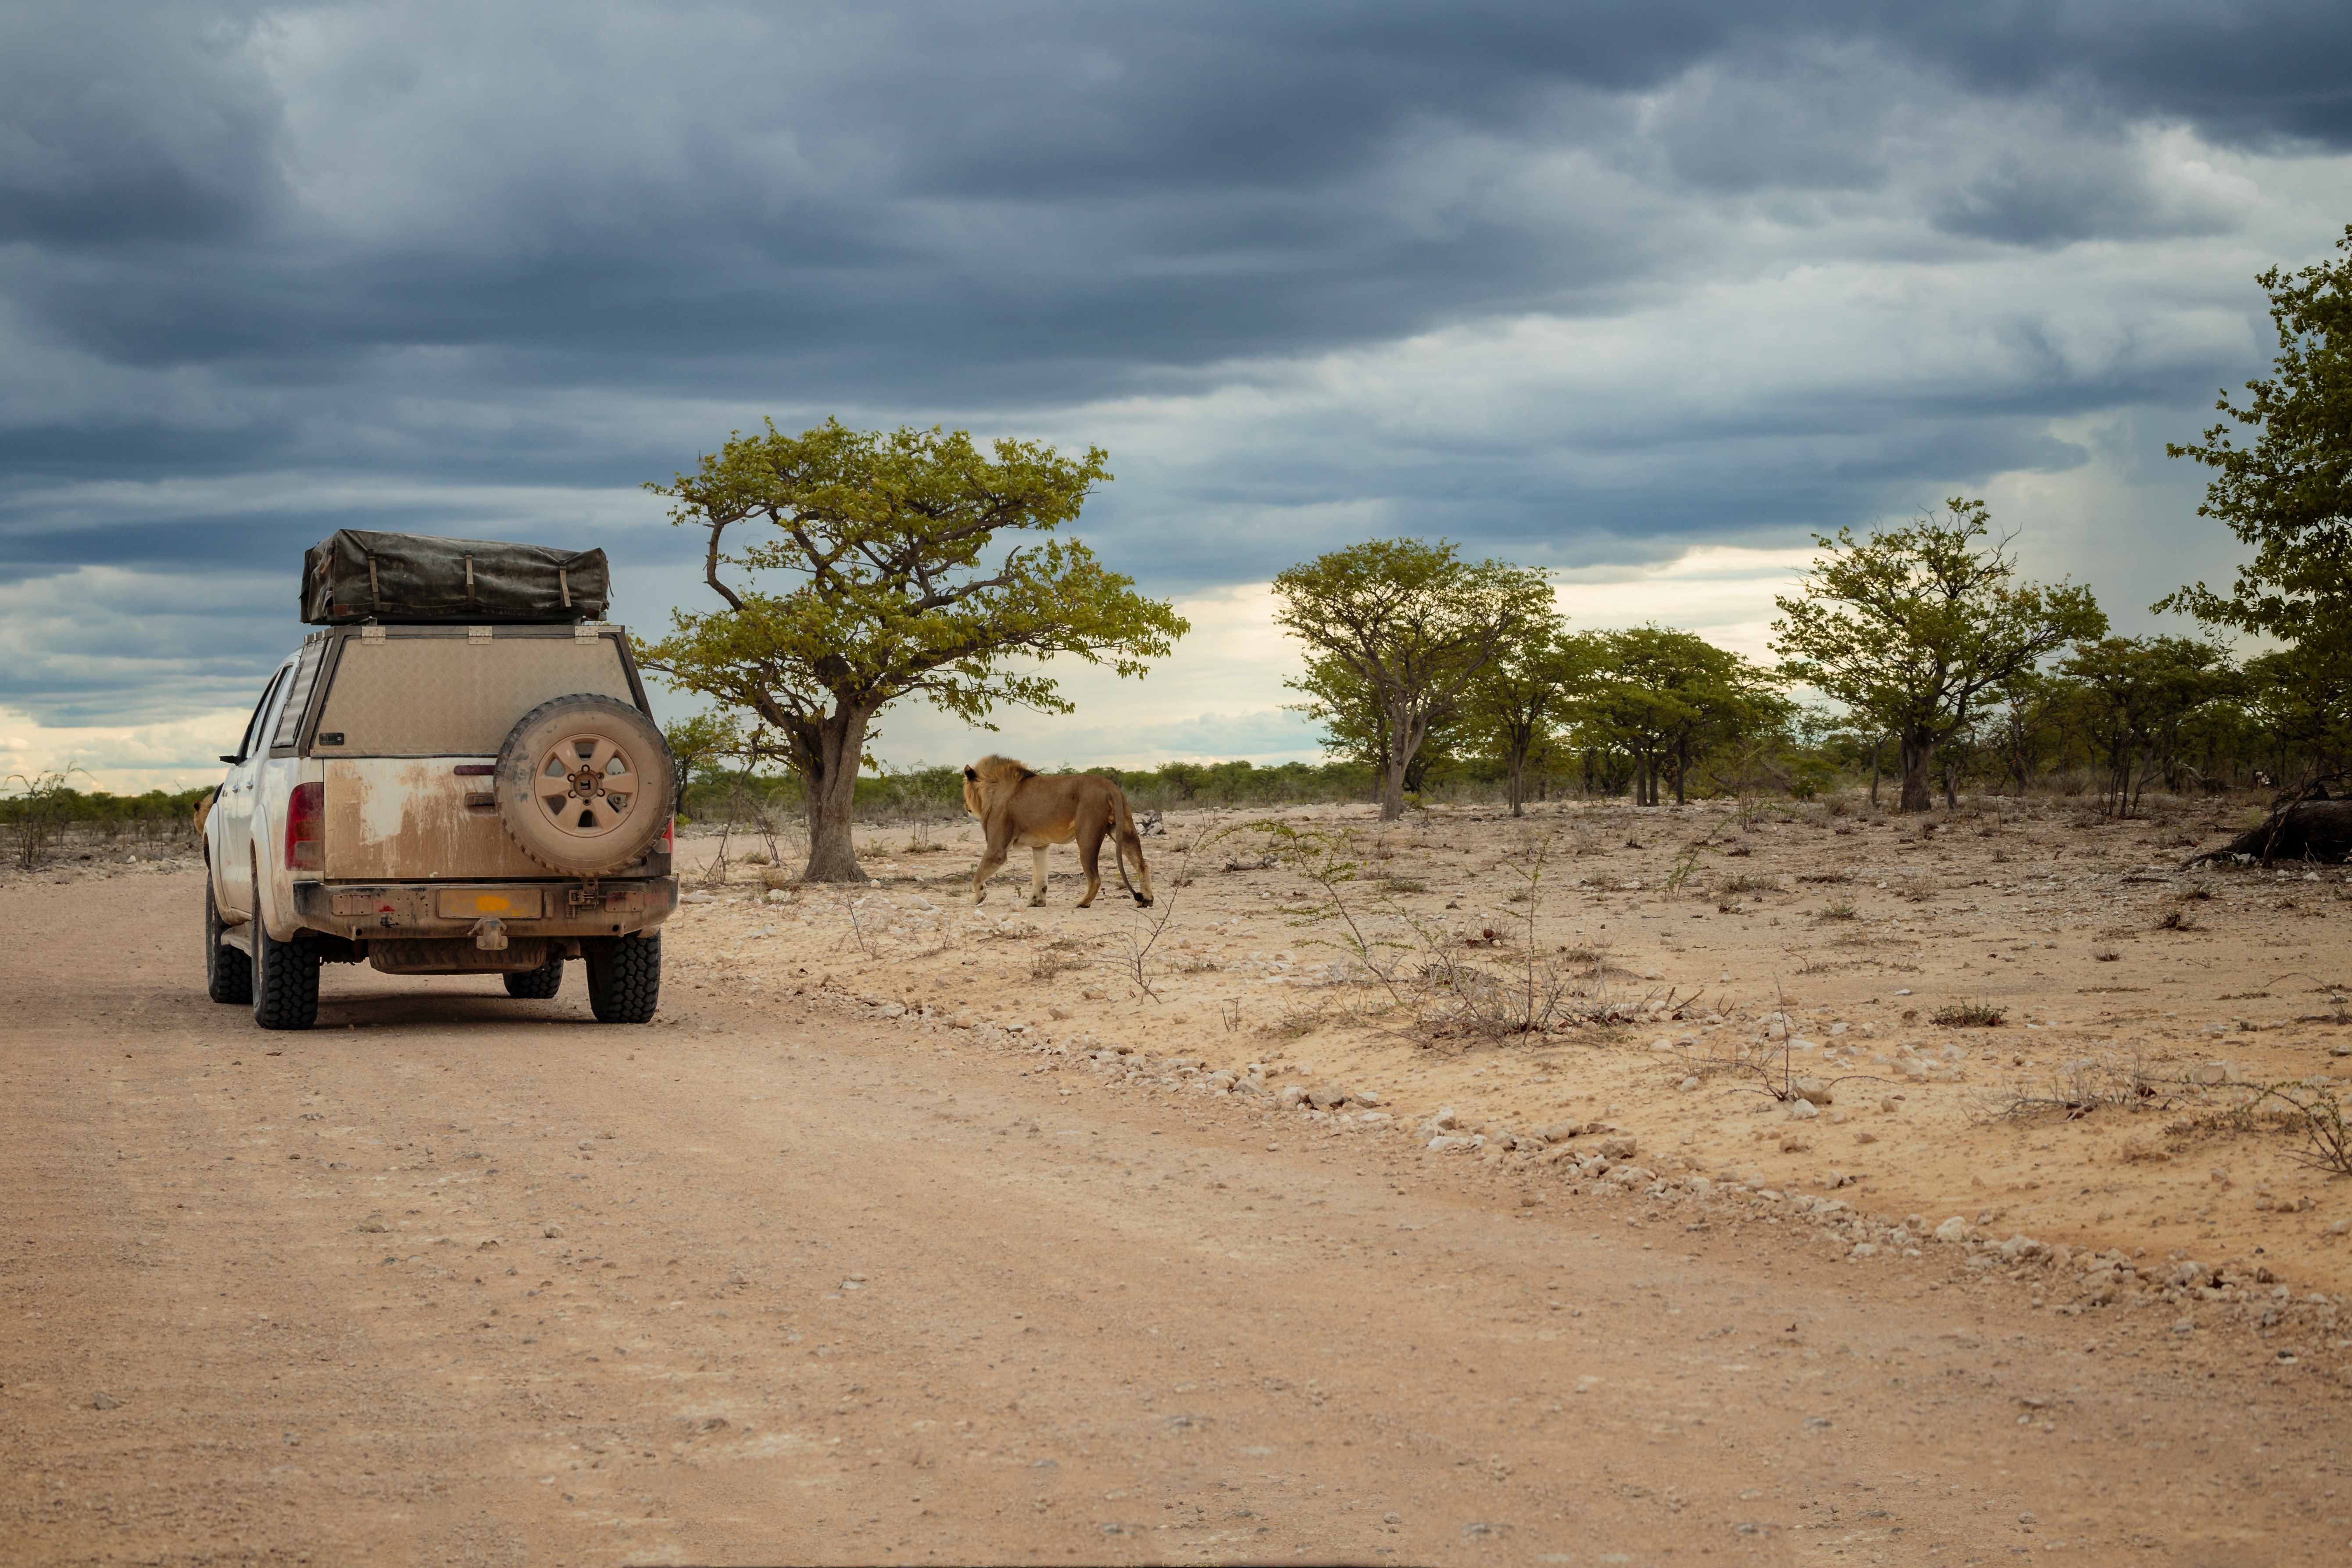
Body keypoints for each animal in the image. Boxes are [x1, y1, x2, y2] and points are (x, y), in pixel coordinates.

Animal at [962, 755, 1153, 909]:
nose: (966, 806)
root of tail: (1110, 787)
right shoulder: (1040, 846)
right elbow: (1040, 877)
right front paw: (1037, 902)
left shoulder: (997, 849)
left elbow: (977, 877)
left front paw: (978, 898)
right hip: (1124, 829)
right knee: (1142, 864)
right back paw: (1145, 900)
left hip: (1087, 836)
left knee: (1095, 878)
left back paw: (1082, 903)